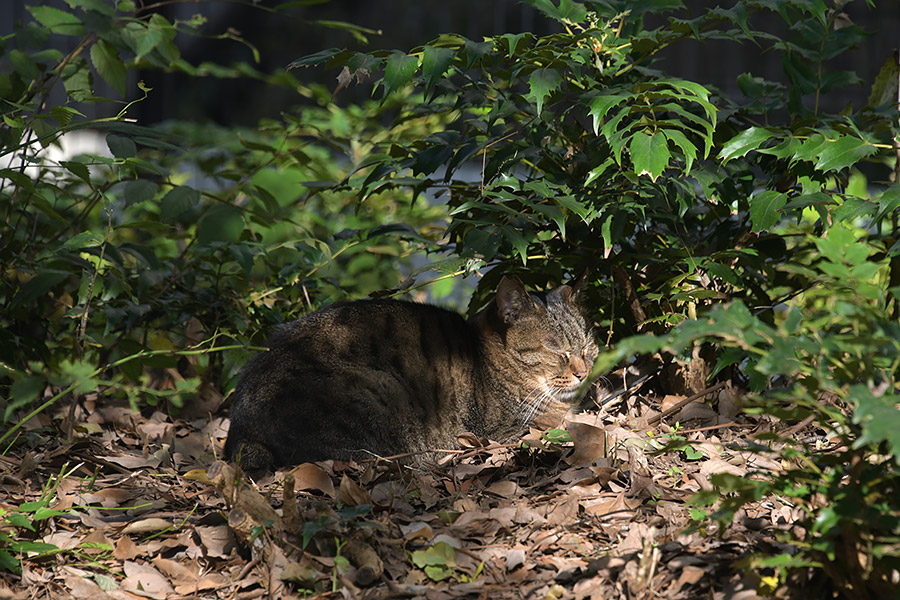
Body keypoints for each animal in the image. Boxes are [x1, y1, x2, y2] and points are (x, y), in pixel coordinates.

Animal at [227, 276, 596, 474]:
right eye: (556, 349)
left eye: (587, 344)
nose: (583, 373)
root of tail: (242, 431)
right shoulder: (499, 432)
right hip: (380, 393)